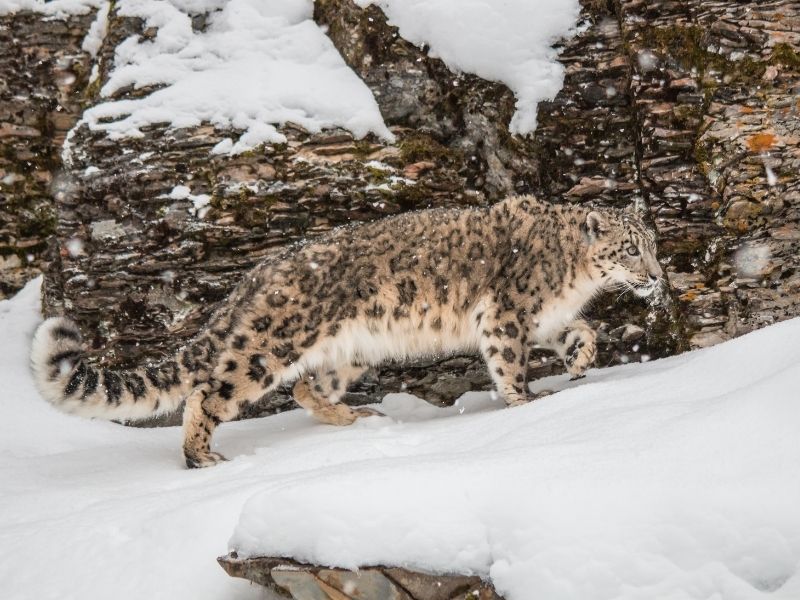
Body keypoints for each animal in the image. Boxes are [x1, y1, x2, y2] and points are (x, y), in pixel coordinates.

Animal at [29, 195, 664, 466]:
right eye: (631, 248)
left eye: (653, 244)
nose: (658, 275)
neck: (573, 278)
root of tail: (256, 273)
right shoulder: (507, 314)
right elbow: (509, 363)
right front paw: (524, 405)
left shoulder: (546, 317)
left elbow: (581, 332)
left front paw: (580, 360)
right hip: (269, 345)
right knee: (210, 393)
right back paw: (202, 457)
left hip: (352, 352)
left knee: (306, 387)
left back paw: (356, 417)